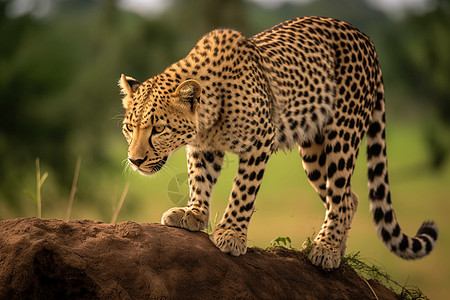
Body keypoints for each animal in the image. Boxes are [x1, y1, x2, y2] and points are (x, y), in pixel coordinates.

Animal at [118, 17, 438, 270]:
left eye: (158, 128)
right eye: (129, 128)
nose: (135, 160)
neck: (209, 114)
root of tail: (365, 37)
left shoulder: (260, 139)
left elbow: (243, 190)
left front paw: (231, 235)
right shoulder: (202, 147)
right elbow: (199, 180)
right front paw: (193, 214)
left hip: (343, 134)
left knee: (340, 194)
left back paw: (326, 250)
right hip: (314, 154)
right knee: (349, 198)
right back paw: (338, 252)